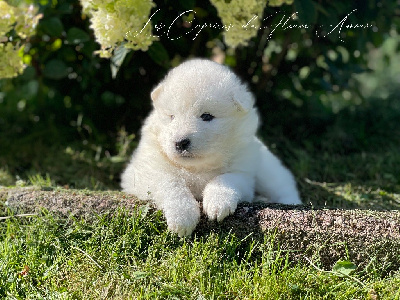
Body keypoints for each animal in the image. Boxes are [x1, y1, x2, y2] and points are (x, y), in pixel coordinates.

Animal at [120, 59, 302, 237]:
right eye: (171, 116)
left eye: (206, 116)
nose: (180, 142)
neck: (196, 168)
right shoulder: (145, 171)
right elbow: (170, 182)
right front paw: (183, 217)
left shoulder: (243, 173)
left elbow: (225, 178)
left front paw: (217, 203)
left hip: (267, 171)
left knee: (284, 187)